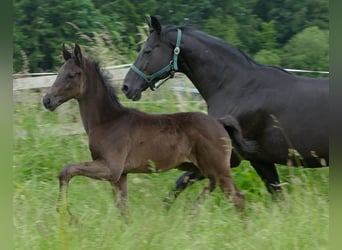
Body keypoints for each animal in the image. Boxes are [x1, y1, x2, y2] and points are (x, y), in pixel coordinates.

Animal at [122, 16, 328, 197]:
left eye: (148, 50)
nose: (126, 87)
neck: (237, 88)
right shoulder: (260, 160)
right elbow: (277, 195)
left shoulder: (230, 157)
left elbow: (182, 180)